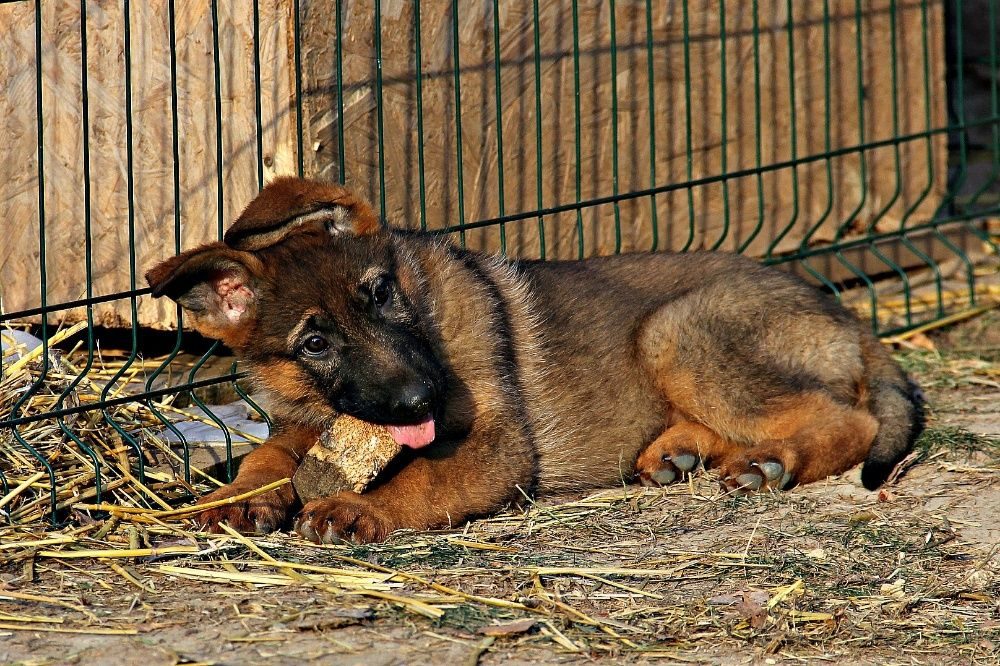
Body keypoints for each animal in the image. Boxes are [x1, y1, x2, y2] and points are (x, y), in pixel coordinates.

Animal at [146, 179, 920, 544]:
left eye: (383, 295)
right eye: (314, 343)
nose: (422, 399)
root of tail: (848, 317)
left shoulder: (495, 444)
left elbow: (423, 478)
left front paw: (355, 509)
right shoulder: (304, 424)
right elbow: (265, 457)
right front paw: (234, 496)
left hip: (677, 330)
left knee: (845, 420)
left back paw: (769, 462)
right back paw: (676, 454)